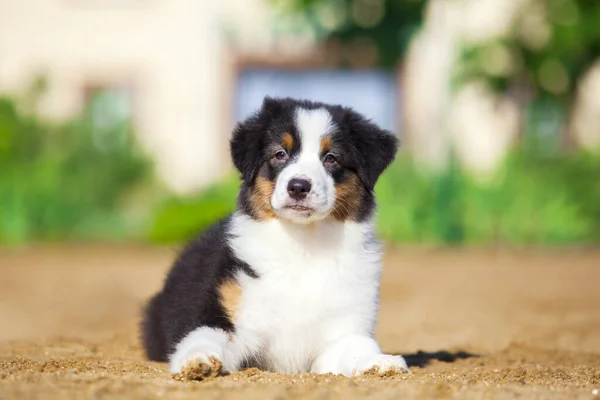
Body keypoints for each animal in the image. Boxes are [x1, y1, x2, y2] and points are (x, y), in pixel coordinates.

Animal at [139, 96, 408, 378]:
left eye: (331, 158)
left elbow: (358, 345)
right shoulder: (228, 317)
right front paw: (198, 361)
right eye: (280, 154)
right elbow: (202, 336)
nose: (298, 187)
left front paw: (380, 361)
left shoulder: (342, 328)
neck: (304, 244)